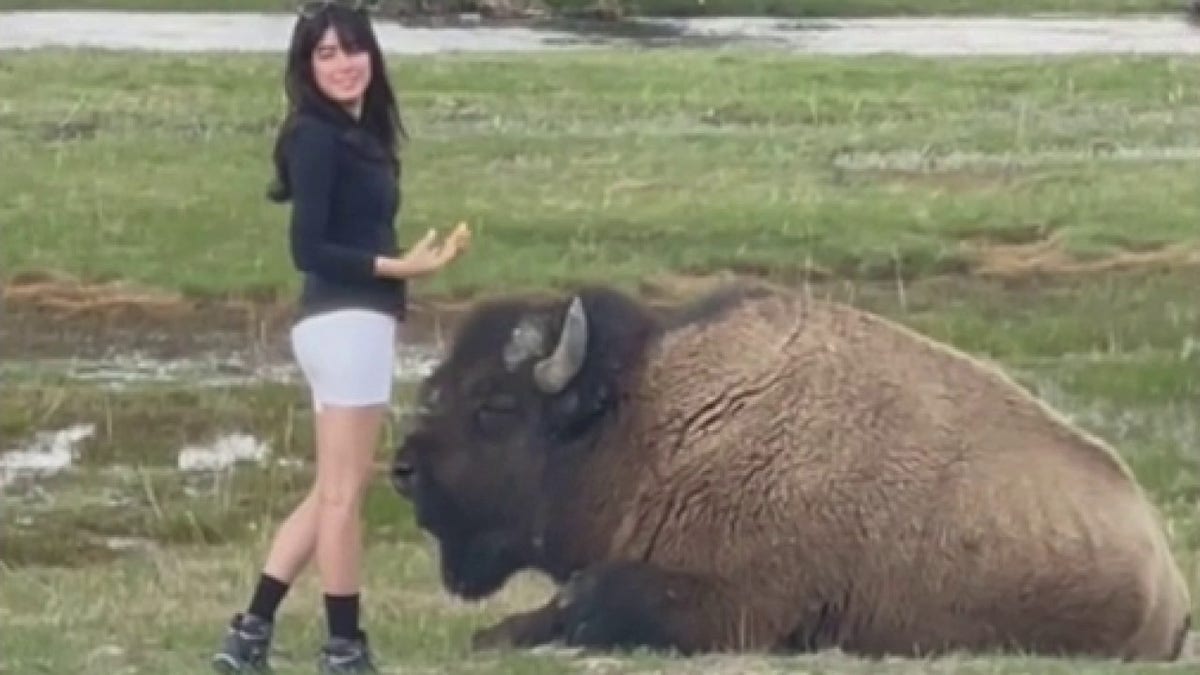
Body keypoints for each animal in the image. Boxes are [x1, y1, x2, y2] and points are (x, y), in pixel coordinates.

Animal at [391, 277, 1190, 658]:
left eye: (495, 405)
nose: (403, 470)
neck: (651, 423)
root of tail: (1167, 571)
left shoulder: (740, 601)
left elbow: (590, 596)